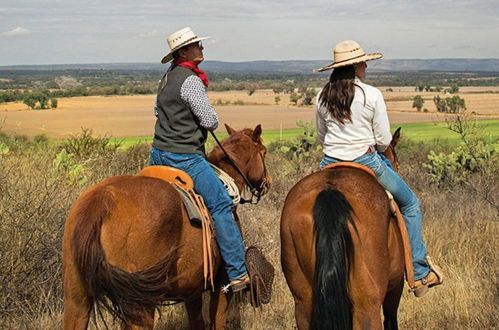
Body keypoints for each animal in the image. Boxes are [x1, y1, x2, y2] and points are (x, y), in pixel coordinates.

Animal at [63, 124, 274, 330]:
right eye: (264, 151)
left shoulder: (192, 291)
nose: (268, 183)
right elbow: (218, 322)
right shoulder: (222, 287)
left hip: (77, 298)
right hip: (141, 304)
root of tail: (103, 199)